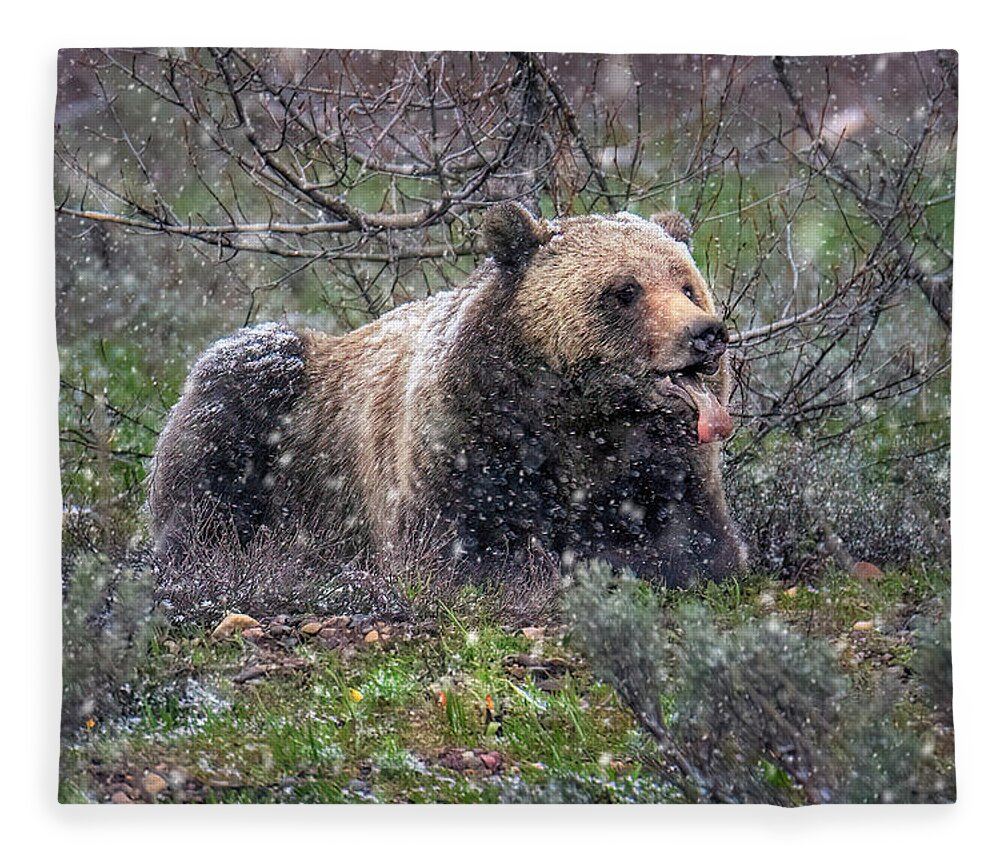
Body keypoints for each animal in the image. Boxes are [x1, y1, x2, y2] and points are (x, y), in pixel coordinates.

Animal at [148, 205, 744, 588]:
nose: (706, 334)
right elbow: (455, 551)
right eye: (625, 290)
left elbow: (703, 547)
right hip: (274, 405)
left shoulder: (667, 469)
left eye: (687, 285)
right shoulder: (463, 443)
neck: (579, 419)